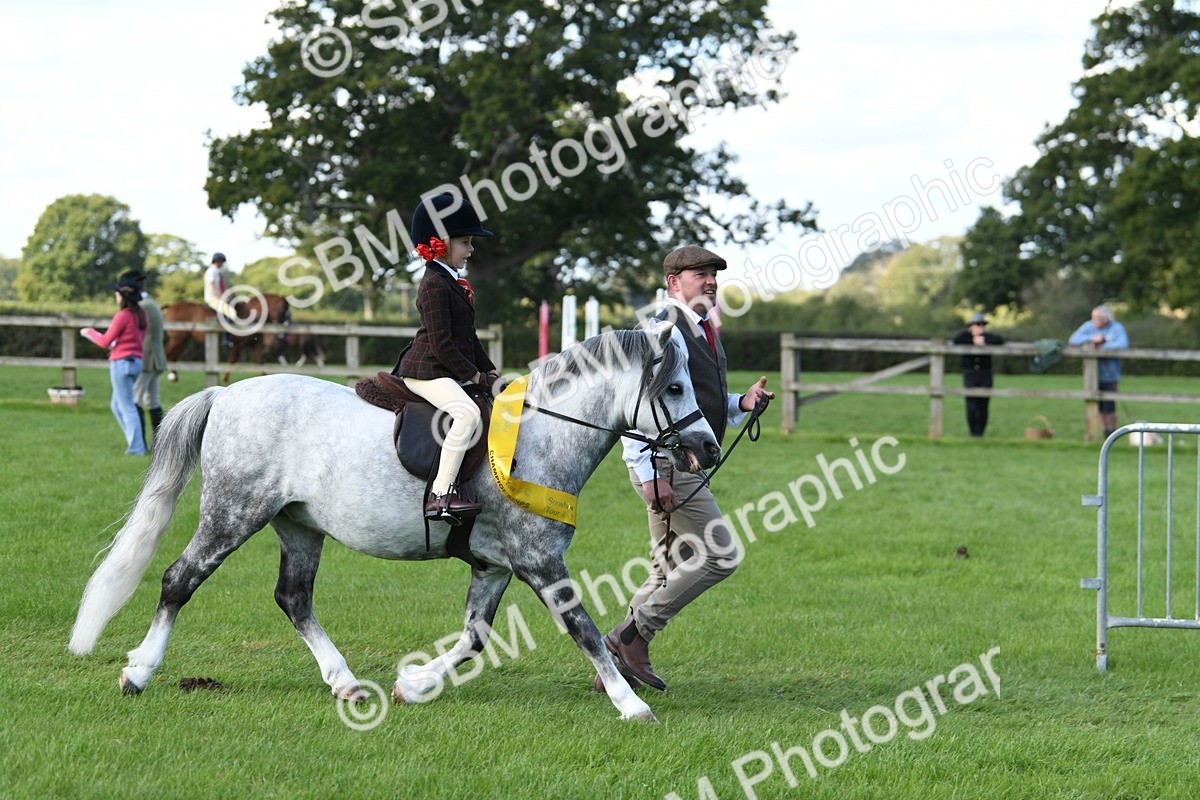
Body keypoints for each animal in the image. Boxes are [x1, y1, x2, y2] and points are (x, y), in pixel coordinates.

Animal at [67, 325, 719, 722]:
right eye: (675, 386)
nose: (708, 451)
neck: (541, 435)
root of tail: (224, 396)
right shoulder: (539, 560)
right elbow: (582, 627)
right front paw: (631, 705)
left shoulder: (494, 565)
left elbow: (473, 638)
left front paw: (414, 684)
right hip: (233, 514)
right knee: (180, 580)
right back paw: (139, 672)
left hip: (298, 526)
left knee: (294, 598)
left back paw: (346, 683)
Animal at [162, 295, 291, 383]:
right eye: (282, 311)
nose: (282, 330)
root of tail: (171, 306)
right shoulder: (238, 344)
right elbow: (232, 360)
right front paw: (224, 379)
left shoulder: (254, 345)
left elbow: (261, 361)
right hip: (178, 338)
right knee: (168, 352)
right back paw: (171, 376)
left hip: (182, 340)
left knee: (173, 354)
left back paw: (173, 376)